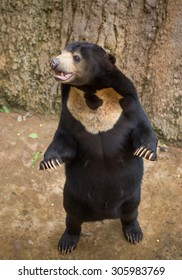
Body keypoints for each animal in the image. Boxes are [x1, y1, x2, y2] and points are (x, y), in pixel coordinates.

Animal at [39, 41, 157, 254]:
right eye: (61, 52)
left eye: (76, 57)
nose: (54, 62)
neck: (91, 92)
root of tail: (105, 214)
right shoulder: (70, 114)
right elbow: (64, 140)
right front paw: (49, 162)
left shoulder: (128, 104)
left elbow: (142, 128)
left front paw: (146, 151)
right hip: (72, 194)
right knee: (72, 217)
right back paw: (67, 243)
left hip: (132, 193)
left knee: (131, 211)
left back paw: (134, 234)